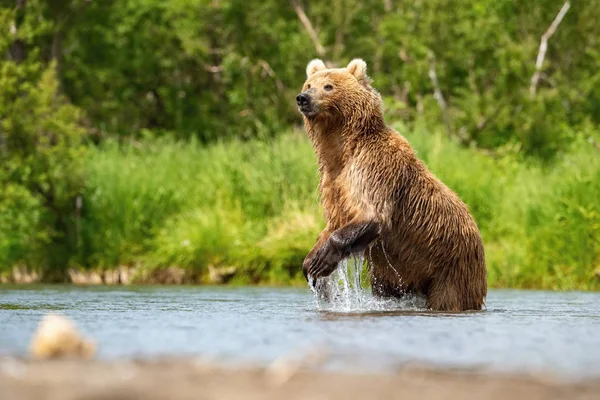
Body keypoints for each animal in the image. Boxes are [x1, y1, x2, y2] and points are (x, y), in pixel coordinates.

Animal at [296, 57, 488, 310]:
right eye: (309, 84)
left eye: (328, 86)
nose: (303, 98)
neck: (343, 148)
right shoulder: (333, 181)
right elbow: (335, 221)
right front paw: (311, 265)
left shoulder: (373, 168)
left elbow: (373, 213)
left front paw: (321, 261)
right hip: (396, 274)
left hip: (452, 265)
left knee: (447, 297)